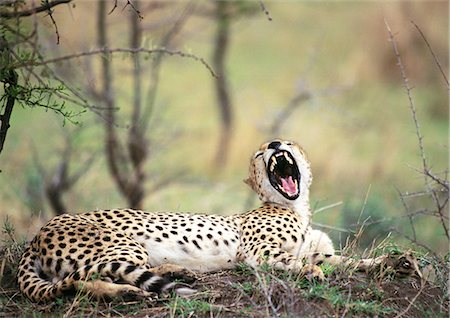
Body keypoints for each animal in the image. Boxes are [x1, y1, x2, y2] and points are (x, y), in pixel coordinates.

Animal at [17, 140, 418, 304]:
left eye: (287, 142)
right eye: (260, 152)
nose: (275, 144)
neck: (296, 207)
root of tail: (38, 234)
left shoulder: (323, 252)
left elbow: (350, 262)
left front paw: (396, 262)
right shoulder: (256, 253)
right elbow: (294, 260)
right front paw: (308, 273)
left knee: (75, 283)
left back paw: (177, 273)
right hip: (119, 244)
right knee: (88, 279)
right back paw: (129, 291)